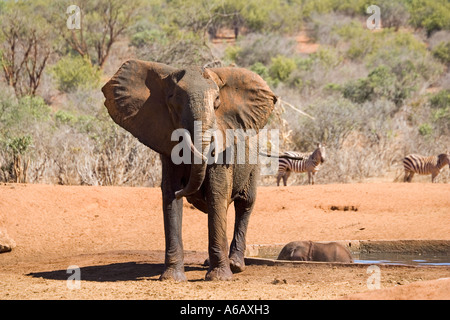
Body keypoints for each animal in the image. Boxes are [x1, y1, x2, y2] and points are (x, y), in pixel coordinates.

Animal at [103, 60, 278, 280]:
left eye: (217, 101)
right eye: (173, 101)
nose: (184, 190)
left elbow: (216, 193)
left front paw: (219, 278)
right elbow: (169, 196)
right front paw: (171, 278)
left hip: (254, 163)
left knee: (245, 204)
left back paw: (235, 265)